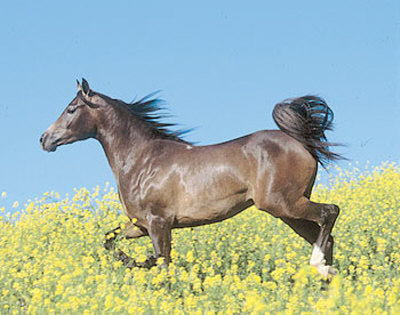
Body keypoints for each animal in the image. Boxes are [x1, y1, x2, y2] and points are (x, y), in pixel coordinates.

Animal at [39, 79, 340, 276]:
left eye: (71, 109)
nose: (44, 139)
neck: (141, 158)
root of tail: (300, 143)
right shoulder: (140, 225)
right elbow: (109, 240)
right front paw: (138, 261)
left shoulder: (159, 223)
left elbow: (164, 263)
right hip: (287, 212)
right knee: (328, 235)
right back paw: (328, 279)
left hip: (283, 204)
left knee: (330, 212)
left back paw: (318, 264)